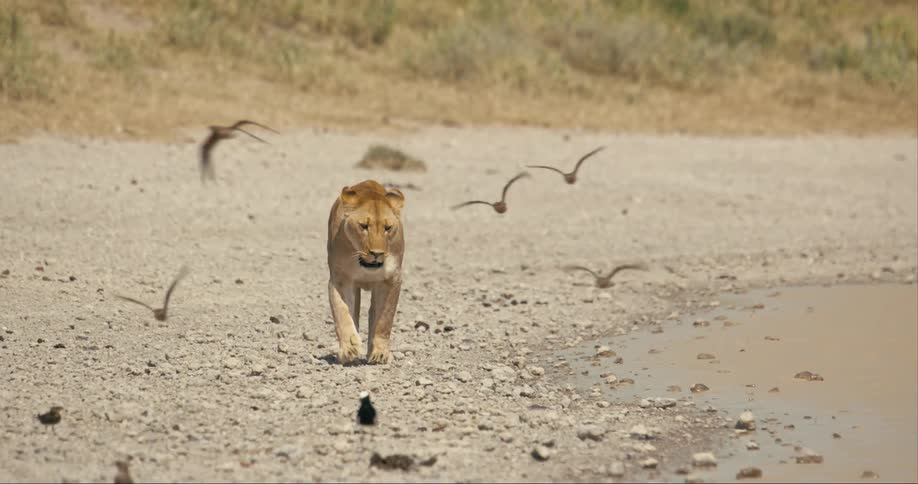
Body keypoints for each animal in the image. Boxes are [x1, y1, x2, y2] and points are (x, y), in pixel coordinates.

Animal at [327, 180, 405, 364]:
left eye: (387, 228)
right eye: (363, 226)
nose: (377, 253)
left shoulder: (391, 280)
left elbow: (384, 319)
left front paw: (380, 353)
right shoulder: (340, 280)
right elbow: (342, 313)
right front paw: (349, 349)